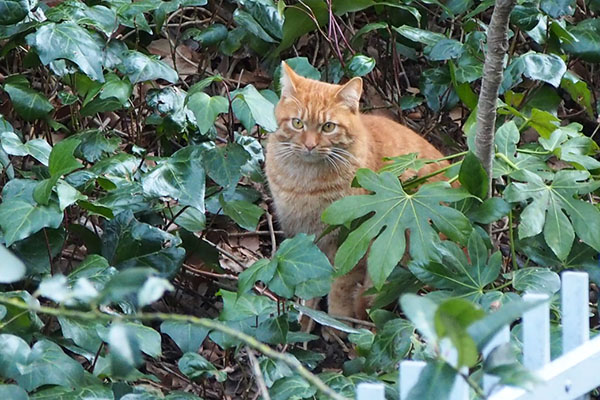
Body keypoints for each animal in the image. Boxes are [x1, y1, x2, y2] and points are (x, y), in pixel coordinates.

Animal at [264, 61, 448, 320]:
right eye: (297, 123)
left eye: (328, 127)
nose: (309, 145)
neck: (304, 180)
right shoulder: (304, 237)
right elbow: (310, 283)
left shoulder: (350, 243)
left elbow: (339, 288)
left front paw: (335, 319)